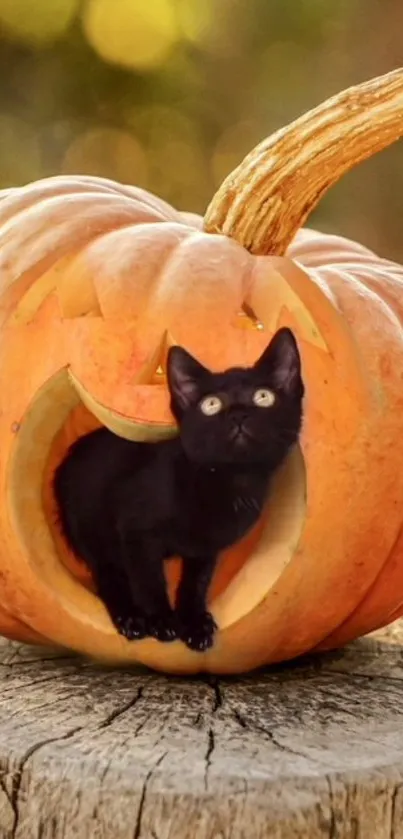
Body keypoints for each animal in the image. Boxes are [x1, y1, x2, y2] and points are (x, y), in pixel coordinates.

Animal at [54, 326, 306, 648]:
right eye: (211, 404)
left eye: (264, 397)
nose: (238, 414)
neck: (228, 480)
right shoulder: (136, 532)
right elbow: (148, 579)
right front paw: (161, 620)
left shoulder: (205, 548)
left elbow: (196, 583)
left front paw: (194, 623)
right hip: (90, 526)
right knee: (108, 574)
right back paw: (130, 617)